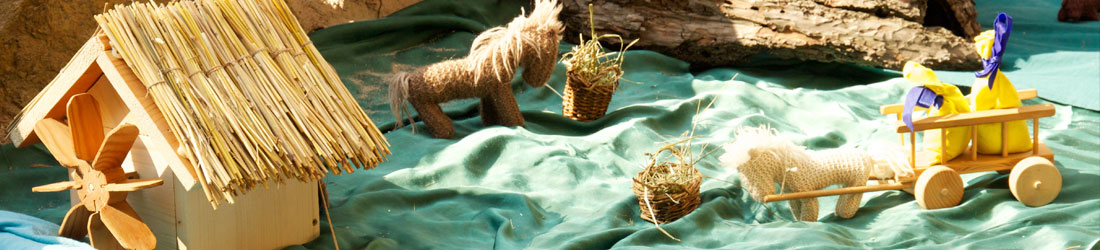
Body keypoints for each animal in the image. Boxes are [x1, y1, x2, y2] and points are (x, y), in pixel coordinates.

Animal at [389, 0, 563, 136]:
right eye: (551, 52)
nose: (538, 81)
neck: (498, 62)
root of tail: (407, 78)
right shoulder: (501, 90)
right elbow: (511, 112)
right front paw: (519, 124)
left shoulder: (489, 93)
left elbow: (488, 110)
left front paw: (491, 124)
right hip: (425, 105)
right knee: (436, 121)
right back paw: (446, 130)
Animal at [717, 126, 906, 221]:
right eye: (743, 176)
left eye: (756, 172)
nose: (759, 196)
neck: (790, 166)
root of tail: (868, 156)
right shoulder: (793, 195)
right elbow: (796, 209)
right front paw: (799, 221)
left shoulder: (807, 193)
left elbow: (810, 211)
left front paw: (807, 223)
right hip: (850, 182)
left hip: (857, 182)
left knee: (851, 198)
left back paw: (845, 214)